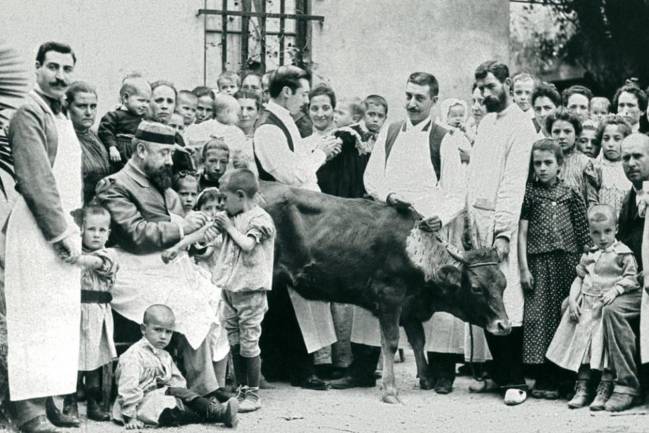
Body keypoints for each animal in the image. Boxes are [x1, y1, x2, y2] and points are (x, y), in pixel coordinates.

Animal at [256, 181, 508, 402]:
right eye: (476, 288)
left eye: (503, 284)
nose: (504, 325)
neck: (417, 251)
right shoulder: (390, 298)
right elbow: (391, 342)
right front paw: (390, 390)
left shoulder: (409, 307)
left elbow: (418, 340)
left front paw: (426, 378)